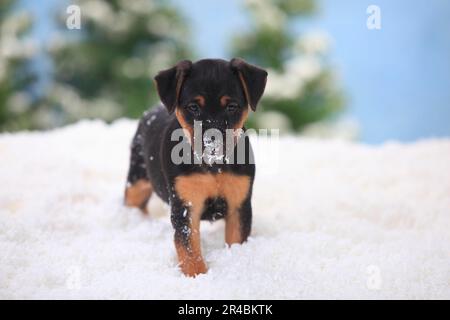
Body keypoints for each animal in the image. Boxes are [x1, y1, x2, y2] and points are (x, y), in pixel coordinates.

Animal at [123, 58, 268, 278]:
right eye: (193, 107)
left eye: (232, 106)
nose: (212, 141)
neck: (213, 166)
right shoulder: (186, 205)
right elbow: (189, 247)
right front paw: (197, 276)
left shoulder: (239, 204)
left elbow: (235, 241)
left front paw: (234, 259)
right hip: (137, 180)